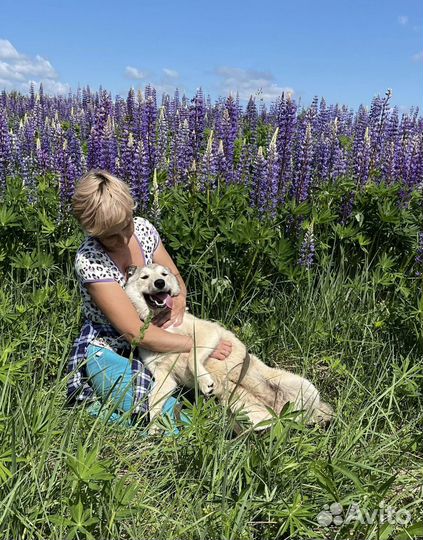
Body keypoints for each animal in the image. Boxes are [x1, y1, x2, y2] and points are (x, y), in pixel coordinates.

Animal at [126, 264, 334, 432]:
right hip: (250, 414)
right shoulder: (165, 377)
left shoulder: (208, 333)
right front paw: (153, 427)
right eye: (144, 277)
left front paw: (205, 382)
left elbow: (193, 356)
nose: (160, 283)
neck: (163, 325)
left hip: (302, 386)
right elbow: (152, 401)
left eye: (164, 274)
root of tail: (276, 407)